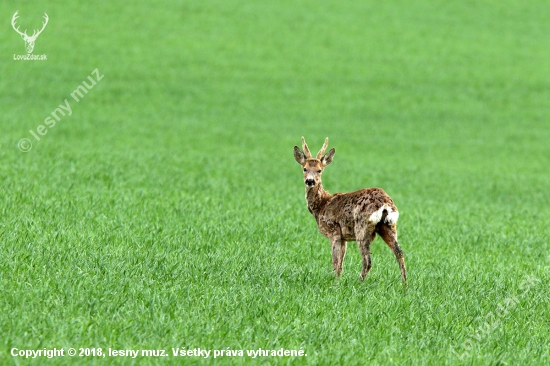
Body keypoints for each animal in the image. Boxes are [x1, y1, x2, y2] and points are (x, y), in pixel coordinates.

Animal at [296, 136, 408, 282]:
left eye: (319, 170)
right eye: (304, 168)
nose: (310, 181)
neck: (322, 205)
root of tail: (385, 203)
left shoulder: (334, 231)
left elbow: (335, 262)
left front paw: (334, 282)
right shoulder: (344, 238)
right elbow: (340, 265)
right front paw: (338, 280)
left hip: (362, 227)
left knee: (367, 261)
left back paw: (359, 282)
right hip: (389, 225)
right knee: (399, 253)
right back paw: (404, 285)